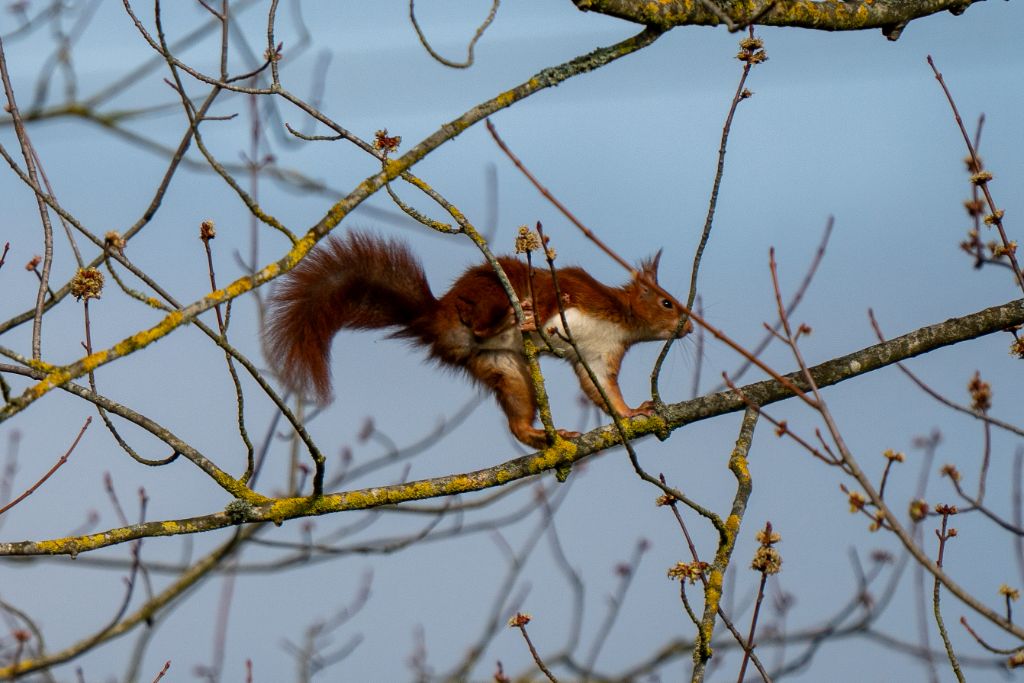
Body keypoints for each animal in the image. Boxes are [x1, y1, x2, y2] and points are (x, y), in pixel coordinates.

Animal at [263, 231, 691, 448]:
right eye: (667, 303)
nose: (689, 327)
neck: (622, 320)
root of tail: (435, 317)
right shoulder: (576, 288)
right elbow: (555, 296)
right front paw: (541, 312)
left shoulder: (599, 355)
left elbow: (602, 390)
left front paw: (632, 412)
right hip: (489, 297)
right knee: (488, 317)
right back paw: (519, 316)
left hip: (503, 367)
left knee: (516, 423)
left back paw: (543, 436)